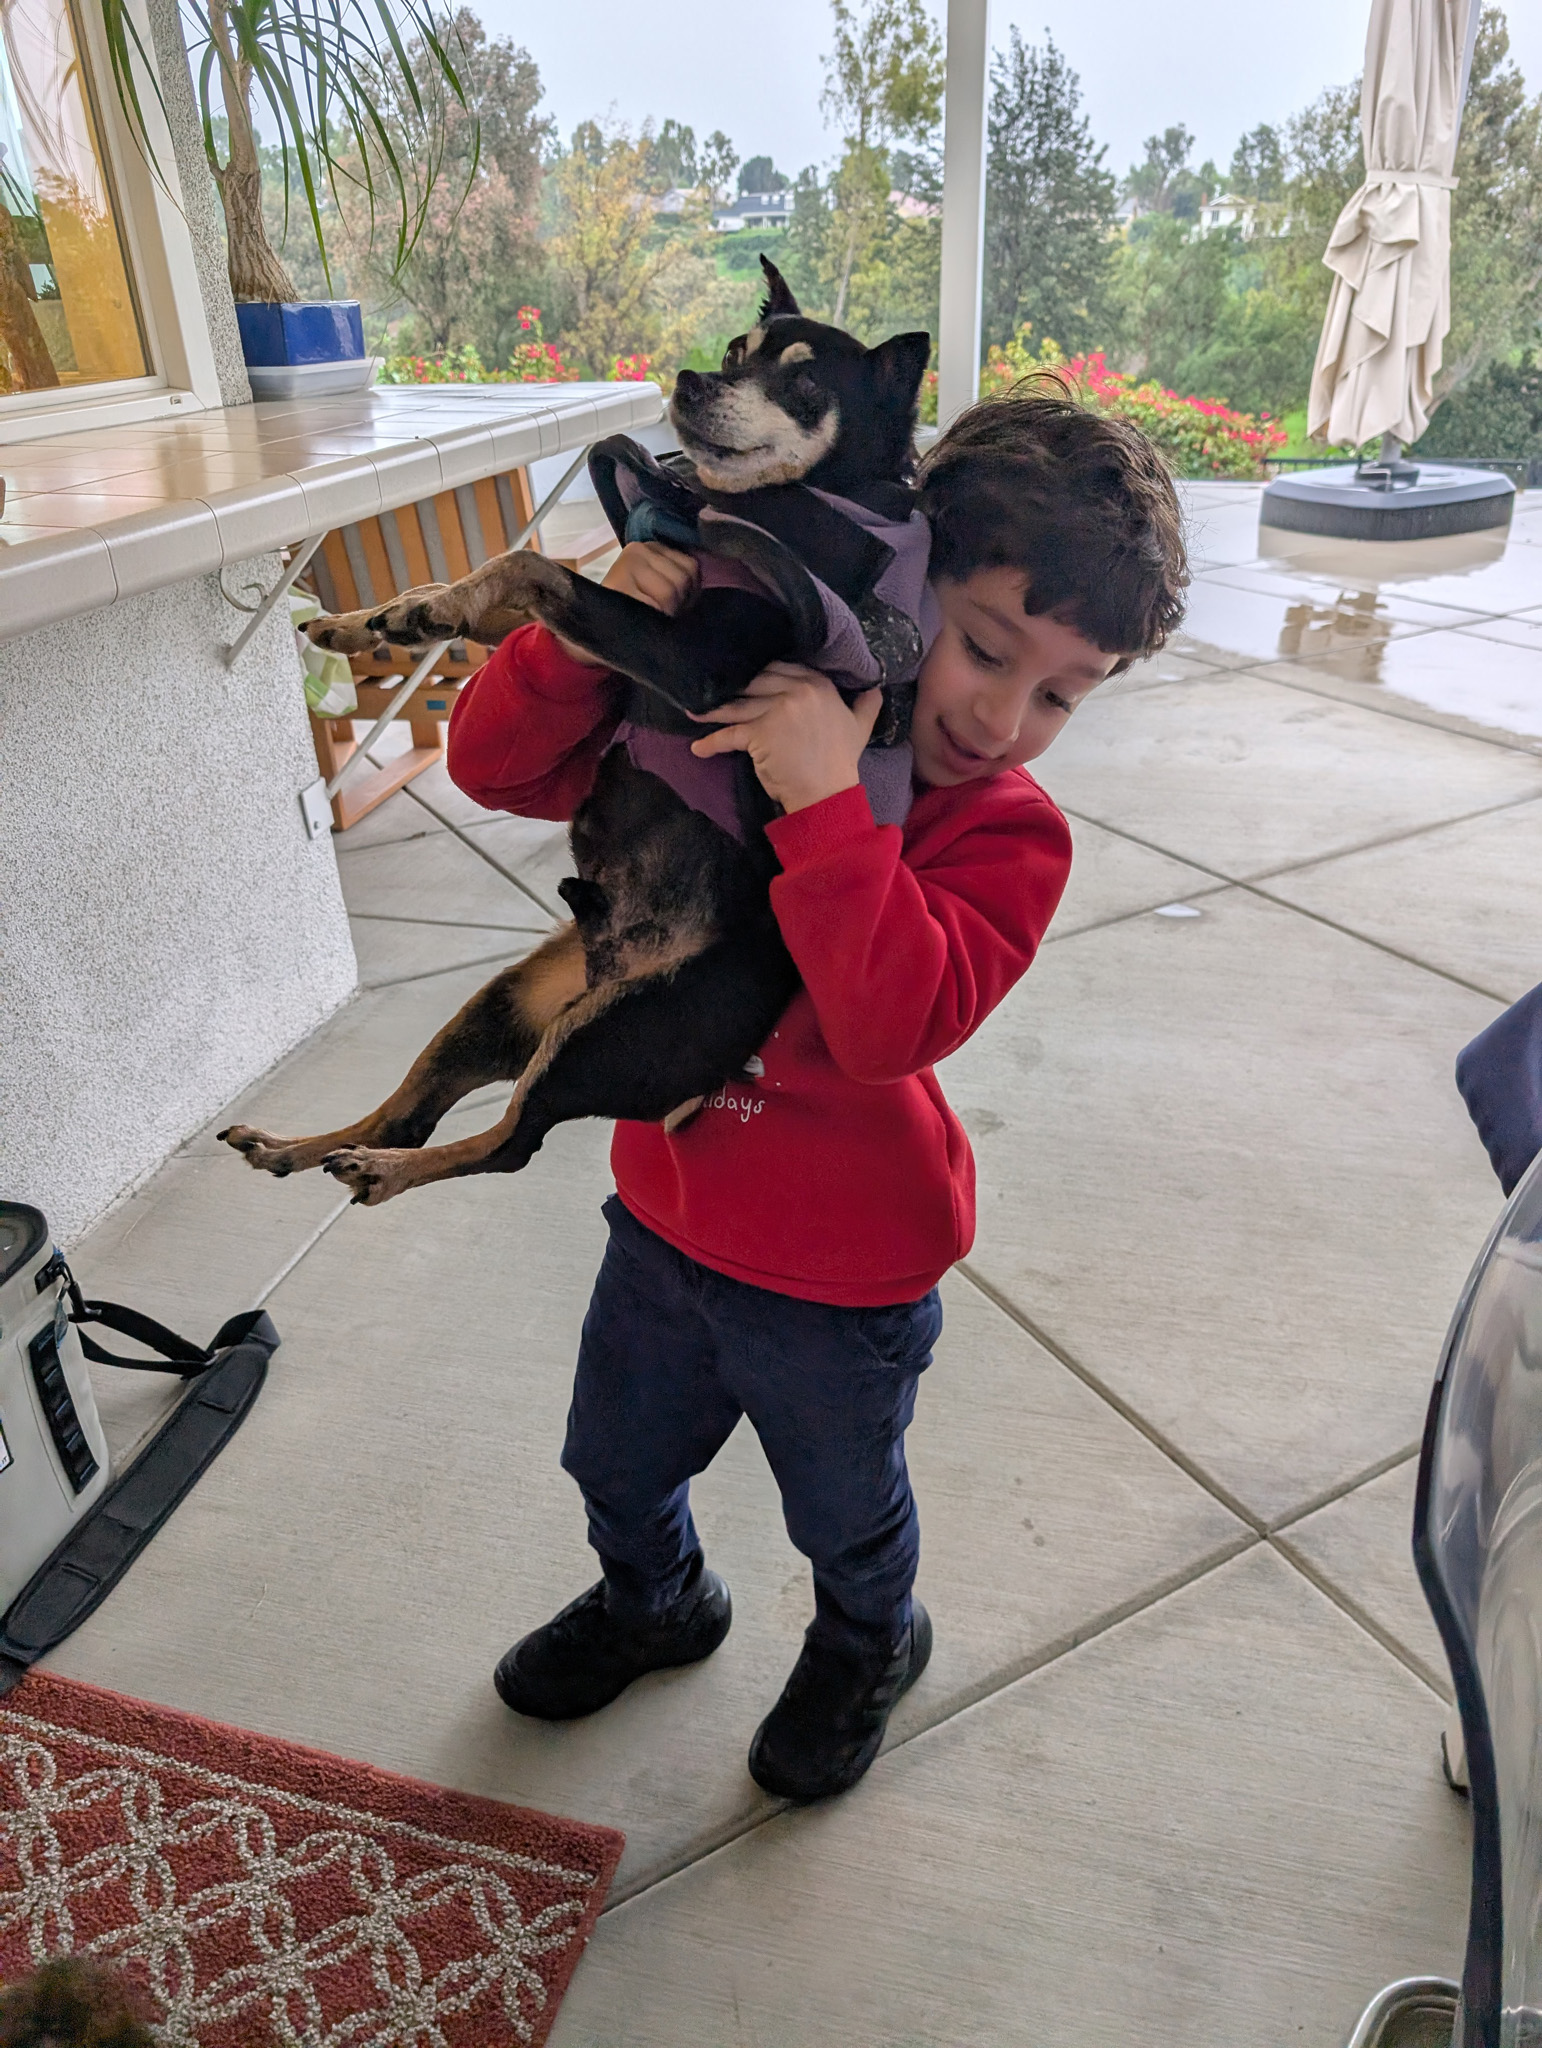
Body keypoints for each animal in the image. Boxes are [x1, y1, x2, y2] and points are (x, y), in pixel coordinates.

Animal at [220, 262, 930, 1207]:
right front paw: (376, 616)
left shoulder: (692, 663)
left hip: (607, 1031)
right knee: (413, 1112)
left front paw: (420, 608)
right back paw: (302, 1147)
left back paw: (378, 1168)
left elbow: (533, 566)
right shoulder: (614, 629)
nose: (690, 381)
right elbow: (522, 588)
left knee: (507, 1143)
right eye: (735, 353)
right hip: (512, 1002)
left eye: (807, 384)